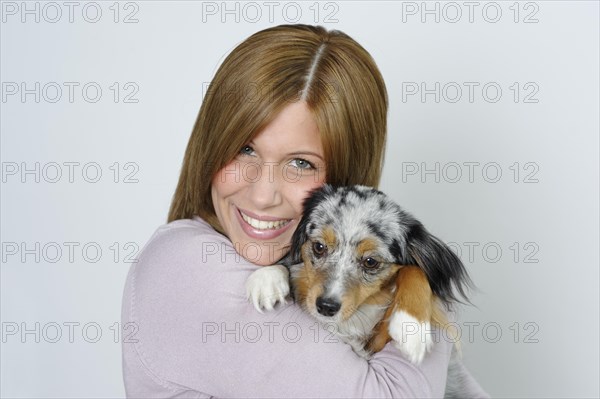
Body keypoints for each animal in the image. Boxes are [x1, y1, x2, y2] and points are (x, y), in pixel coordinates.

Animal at [246, 186, 476, 396]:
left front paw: (411, 326)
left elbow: (414, 269)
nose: (326, 306)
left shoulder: (375, 343)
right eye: (319, 247)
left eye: (370, 262)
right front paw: (268, 278)